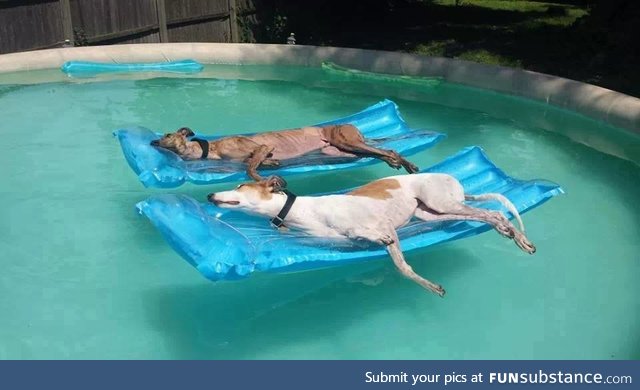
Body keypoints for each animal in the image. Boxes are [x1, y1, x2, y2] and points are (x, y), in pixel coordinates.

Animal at [206, 174, 536, 296]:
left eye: (240, 186)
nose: (209, 195)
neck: (304, 211)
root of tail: (455, 181)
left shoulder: (385, 226)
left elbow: (397, 261)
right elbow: (399, 265)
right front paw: (429, 286)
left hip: (443, 202)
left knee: (493, 214)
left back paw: (517, 236)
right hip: (431, 212)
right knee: (487, 215)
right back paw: (510, 233)